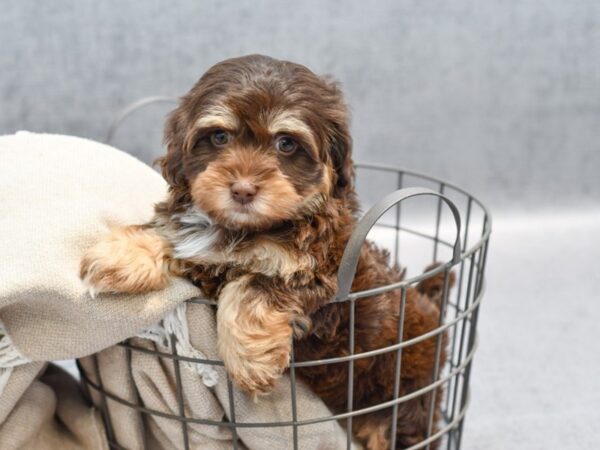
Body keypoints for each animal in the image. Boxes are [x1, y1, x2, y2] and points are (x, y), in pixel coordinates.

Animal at [83, 54, 450, 448]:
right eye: (219, 137)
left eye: (286, 144)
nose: (243, 190)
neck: (246, 228)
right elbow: (171, 232)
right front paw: (118, 254)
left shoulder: (317, 274)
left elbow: (252, 284)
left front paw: (250, 362)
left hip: (403, 397)